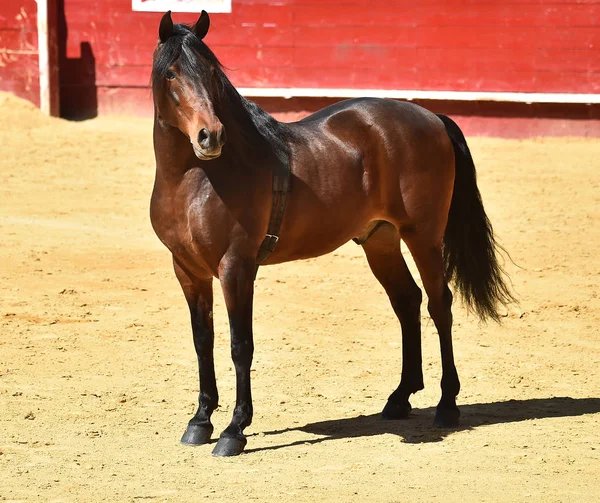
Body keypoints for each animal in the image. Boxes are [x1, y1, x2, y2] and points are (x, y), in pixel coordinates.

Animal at [148, 10, 512, 456]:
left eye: (212, 72)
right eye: (171, 73)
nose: (210, 135)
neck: (194, 180)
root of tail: (432, 118)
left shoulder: (236, 268)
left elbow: (239, 345)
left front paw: (235, 430)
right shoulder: (188, 270)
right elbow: (203, 342)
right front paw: (200, 421)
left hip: (423, 237)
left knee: (438, 304)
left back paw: (447, 405)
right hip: (380, 241)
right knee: (407, 301)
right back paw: (400, 398)